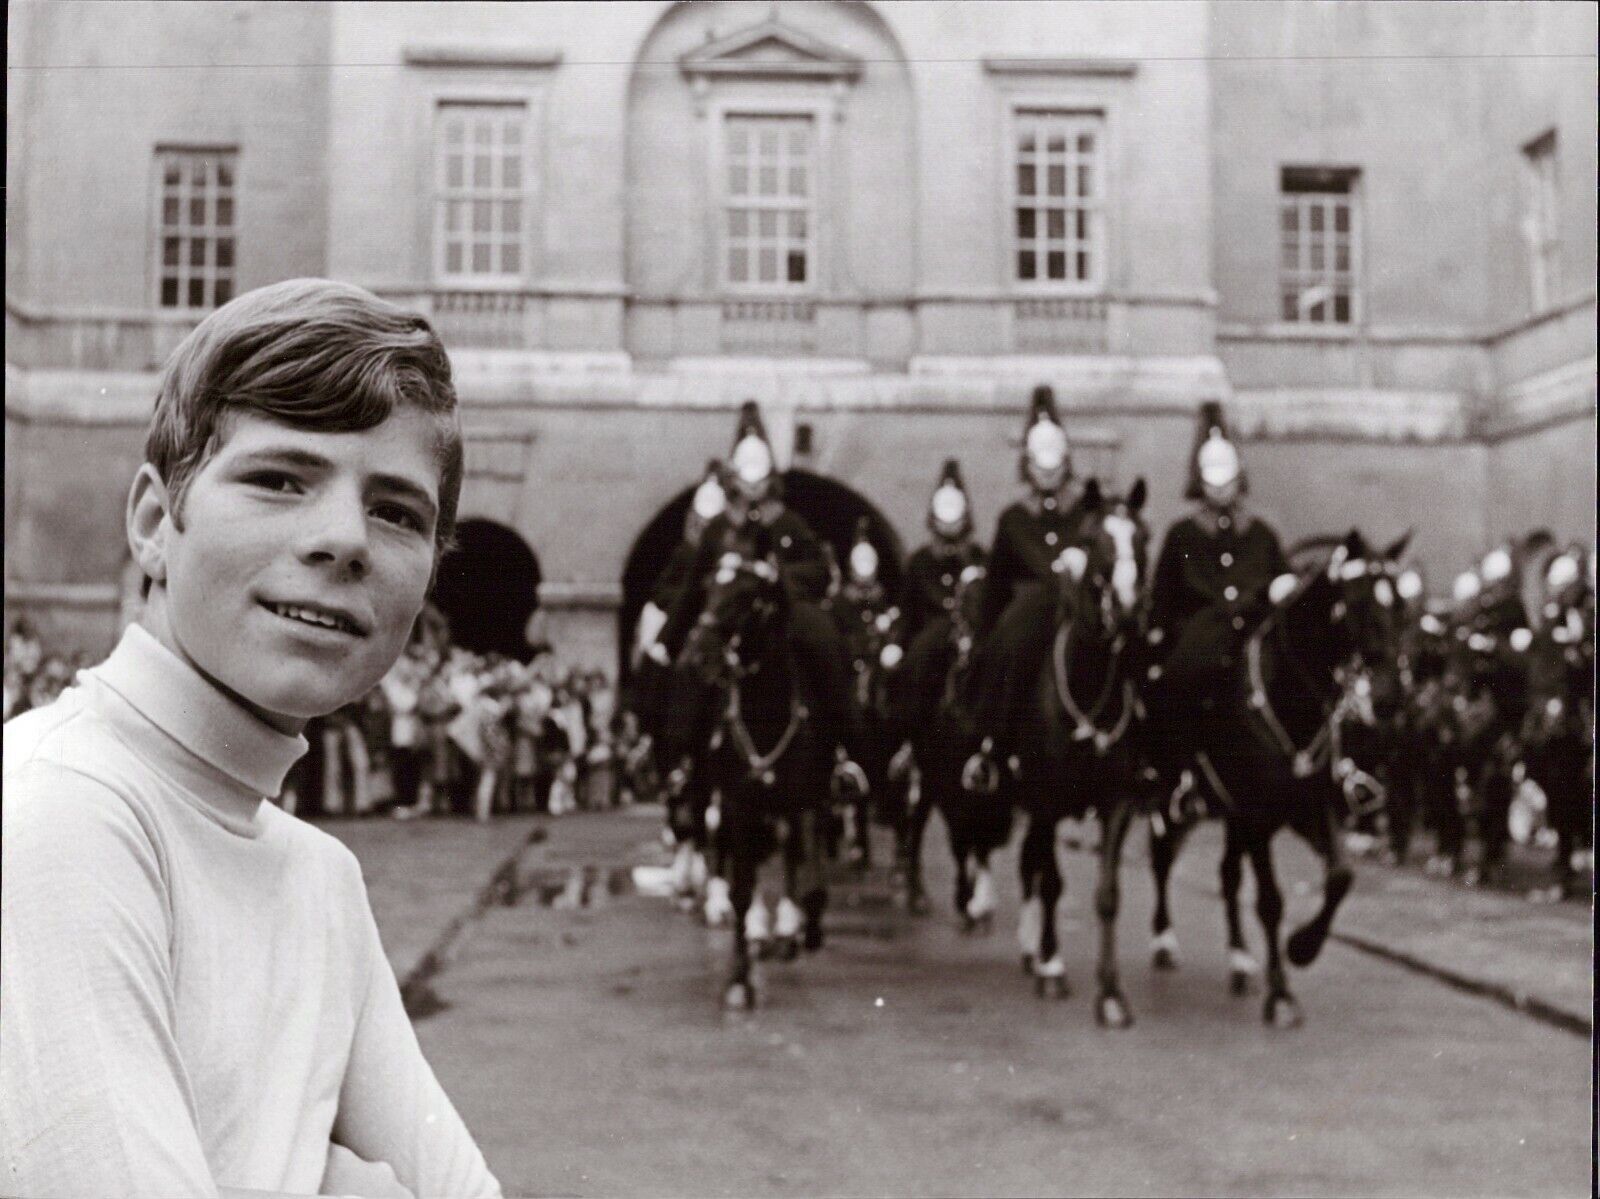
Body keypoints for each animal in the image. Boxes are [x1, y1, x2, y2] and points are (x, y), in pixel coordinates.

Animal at [678, 534, 838, 1011]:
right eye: (710, 586)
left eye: (749, 596)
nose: (697, 656)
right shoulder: (739, 801)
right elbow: (743, 887)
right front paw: (738, 978)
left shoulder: (807, 799)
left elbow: (807, 876)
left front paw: (801, 929)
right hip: (707, 784)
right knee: (710, 833)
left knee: (787, 850)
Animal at [1004, 473, 1158, 1018]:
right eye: (1094, 541)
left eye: (1144, 537)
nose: (1129, 611)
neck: (1089, 686)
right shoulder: (1046, 800)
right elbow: (1052, 882)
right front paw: (1053, 968)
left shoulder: (1119, 802)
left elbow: (1107, 894)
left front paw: (1110, 993)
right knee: (1033, 865)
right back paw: (1036, 953)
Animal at [1145, 528, 1408, 1024]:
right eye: (1357, 602)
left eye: (1401, 603)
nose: (1390, 698)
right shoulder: (1256, 815)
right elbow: (1270, 901)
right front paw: (1282, 992)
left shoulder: (1307, 806)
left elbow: (1341, 876)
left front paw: (1302, 948)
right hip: (1170, 795)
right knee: (1162, 856)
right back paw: (1164, 940)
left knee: (1227, 875)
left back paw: (1240, 961)